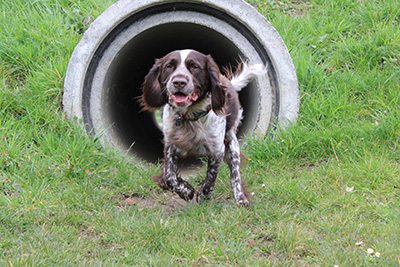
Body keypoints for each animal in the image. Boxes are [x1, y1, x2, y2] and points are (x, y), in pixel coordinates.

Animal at [141, 50, 266, 207]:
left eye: (195, 66)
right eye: (169, 66)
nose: (179, 82)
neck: (190, 117)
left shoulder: (217, 150)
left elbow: (211, 178)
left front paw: (202, 195)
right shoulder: (170, 147)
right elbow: (170, 178)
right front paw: (186, 190)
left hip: (232, 144)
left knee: (235, 175)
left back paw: (240, 198)